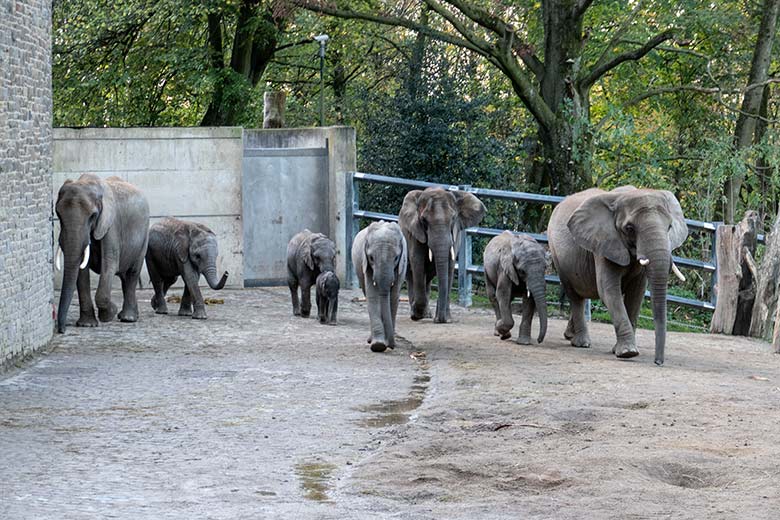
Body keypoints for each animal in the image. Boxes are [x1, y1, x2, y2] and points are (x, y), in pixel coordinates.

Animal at [54, 173, 151, 332]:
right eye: (58, 214)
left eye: (93, 216)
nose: (61, 330)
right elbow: (82, 270)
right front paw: (87, 324)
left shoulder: (111, 225)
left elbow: (109, 264)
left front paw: (109, 314)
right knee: (124, 278)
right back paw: (127, 315)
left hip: (144, 236)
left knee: (132, 273)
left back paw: (128, 318)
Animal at [350, 221, 406, 352]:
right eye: (371, 258)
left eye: (396, 258)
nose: (392, 346)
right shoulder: (366, 264)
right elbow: (373, 296)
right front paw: (378, 346)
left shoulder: (401, 265)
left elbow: (393, 297)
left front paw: (384, 344)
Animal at [400, 187, 484, 324]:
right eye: (424, 220)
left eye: (453, 219)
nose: (441, 319)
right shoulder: (414, 232)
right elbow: (417, 262)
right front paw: (417, 315)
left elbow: (449, 265)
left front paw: (446, 319)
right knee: (412, 276)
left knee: (428, 279)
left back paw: (427, 315)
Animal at [544, 187, 684, 366]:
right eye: (629, 228)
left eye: (669, 226)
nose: (658, 362)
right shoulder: (603, 243)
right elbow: (608, 290)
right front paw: (628, 352)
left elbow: (636, 294)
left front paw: (620, 349)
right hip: (557, 255)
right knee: (574, 296)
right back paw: (581, 343)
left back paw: (569, 336)